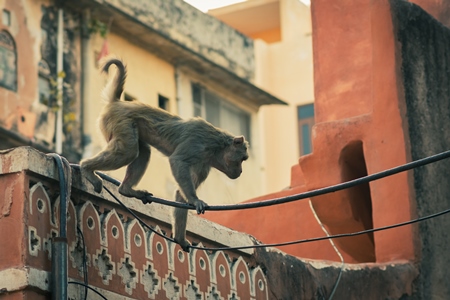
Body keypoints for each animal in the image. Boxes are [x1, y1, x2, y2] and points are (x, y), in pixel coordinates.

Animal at [81, 58, 250, 251]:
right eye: (242, 159)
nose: (241, 171)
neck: (216, 146)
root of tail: (118, 103)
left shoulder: (204, 164)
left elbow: (180, 193)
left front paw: (180, 238)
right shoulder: (198, 142)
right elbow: (177, 161)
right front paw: (195, 199)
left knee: (142, 152)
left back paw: (126, 190)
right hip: (120, 122)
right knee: (128, 152)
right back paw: (86, 169)